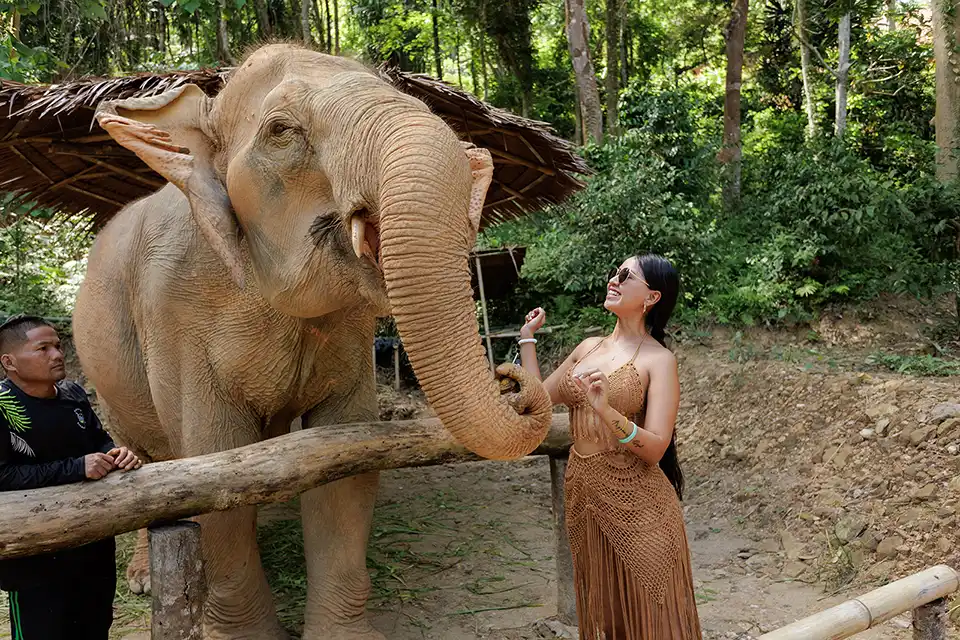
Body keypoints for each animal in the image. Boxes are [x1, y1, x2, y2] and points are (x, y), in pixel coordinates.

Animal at [71, 43, 553, 640]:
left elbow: (344, 456)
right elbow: (214, 461)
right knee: (144, 460)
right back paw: (141, 575)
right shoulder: (174, 314)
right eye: (282, 130)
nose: (513, 380)